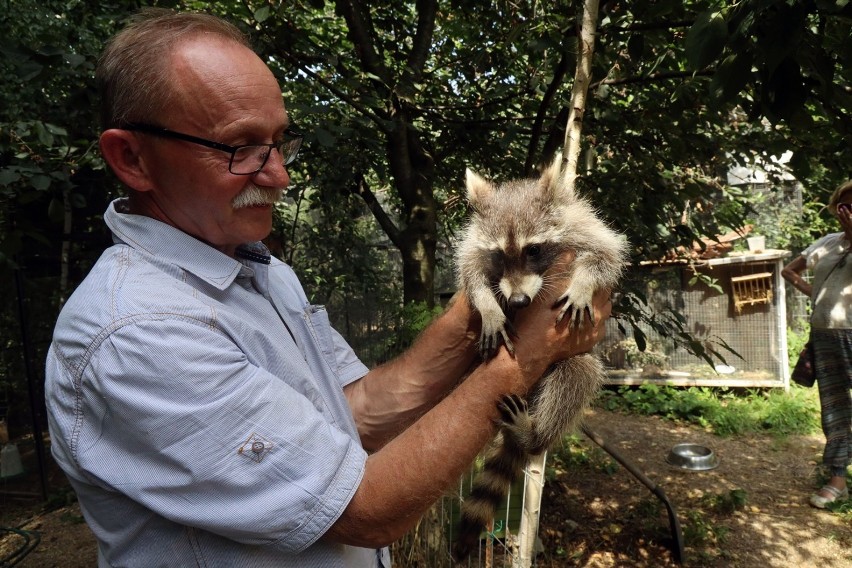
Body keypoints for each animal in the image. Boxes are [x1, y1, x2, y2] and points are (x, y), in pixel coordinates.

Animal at [452, 154, 624, 560]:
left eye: (533, 250)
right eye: (499, 255)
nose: (516, 301)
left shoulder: (584, 226)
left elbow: (607, 256)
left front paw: (583, 282)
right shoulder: (474, 245)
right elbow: (469, 271)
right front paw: (488, 304)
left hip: (568, 371)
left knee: (578, 373)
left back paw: (536, 435)